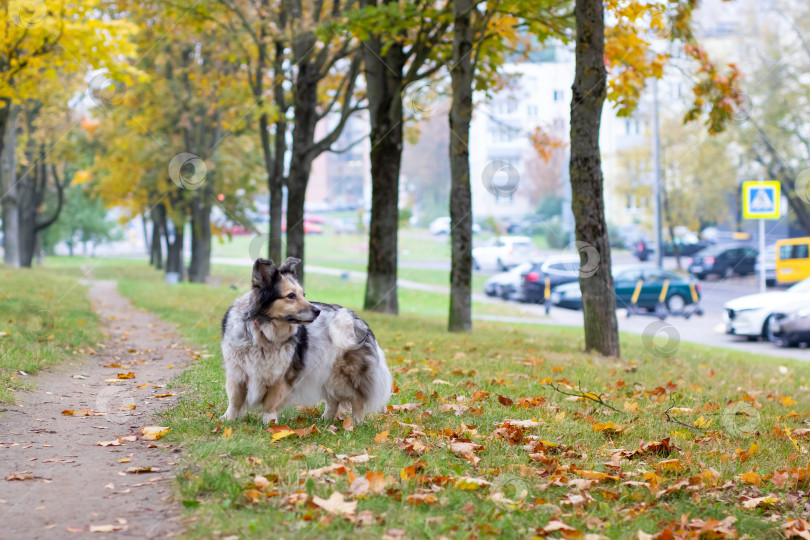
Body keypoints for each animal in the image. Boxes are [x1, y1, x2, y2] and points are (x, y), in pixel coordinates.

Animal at [218, 255, 388, 424]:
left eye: (303, 295)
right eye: (291, 296)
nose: (317, 311)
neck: (262, 333)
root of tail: (357, 320)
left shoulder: (281, 377)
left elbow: (270, 404)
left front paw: (270, 423)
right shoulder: (237, 374)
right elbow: (234, 400)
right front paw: (228, 419)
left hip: (344, 375)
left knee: (357, 399)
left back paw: (356, 423)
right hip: (327, 374)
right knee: (333, 400)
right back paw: (325, 420)